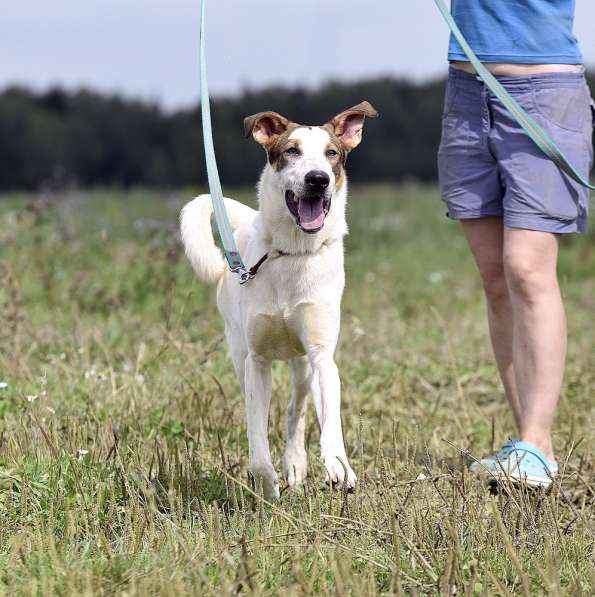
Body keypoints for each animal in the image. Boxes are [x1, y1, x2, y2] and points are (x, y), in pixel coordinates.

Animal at [179, 101, 380, 498]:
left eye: (332, 154)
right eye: (292, 151)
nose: (318, 179)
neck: (292, 252)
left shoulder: (321, 354)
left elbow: (328, 421)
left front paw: (338, 467)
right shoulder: (256, 361)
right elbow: (257, 440)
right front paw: (267, 486)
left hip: (302, 364)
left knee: (296, 410)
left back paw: (296, 462)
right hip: (239, 351)